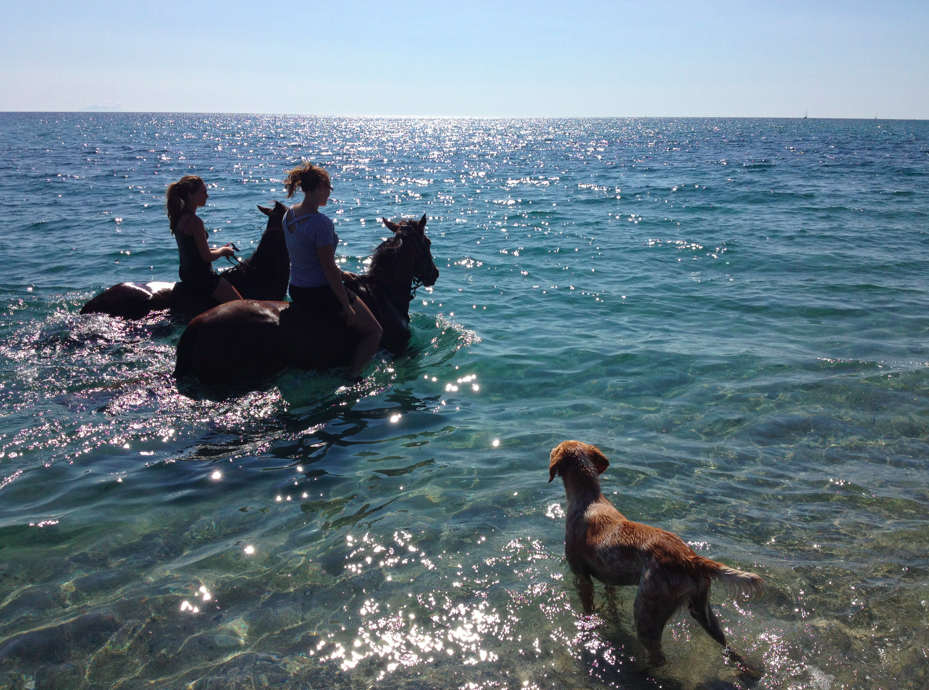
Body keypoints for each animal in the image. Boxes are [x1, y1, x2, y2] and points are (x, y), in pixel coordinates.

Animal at [548, 440, 756, 660]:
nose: (550, 450)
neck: (589, 499)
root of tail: (690, 559)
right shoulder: (608, 578)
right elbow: (612, 601)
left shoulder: (581, 575)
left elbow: (588, 609)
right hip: (703, 611)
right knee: (724, 642)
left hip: (647, 613)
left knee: (658, 657)